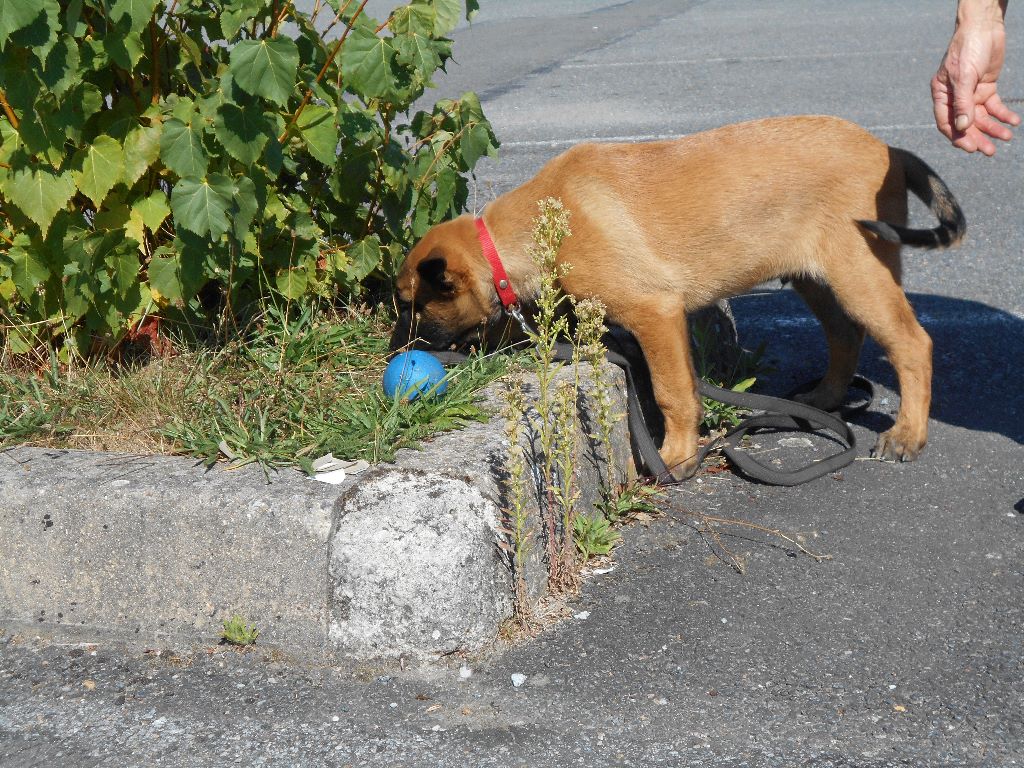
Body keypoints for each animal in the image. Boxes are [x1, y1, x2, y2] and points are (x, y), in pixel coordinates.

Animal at [390, 115, 965, 480]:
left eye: (413, 305)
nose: (397, 352)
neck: (536, 225)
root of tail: (891, 152)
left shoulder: (655, 313)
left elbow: (670, 393)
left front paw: (677, 457)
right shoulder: (670, 325)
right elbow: (687, 388)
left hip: (858, 271)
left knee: (912, 344)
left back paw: (907, 434)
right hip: (814, 276)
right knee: (845, 334)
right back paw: (823, 398)